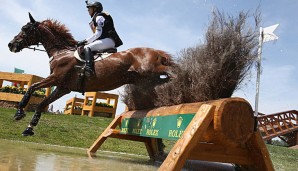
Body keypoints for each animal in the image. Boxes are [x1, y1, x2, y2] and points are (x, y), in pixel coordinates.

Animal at [8, 12, 176, 136]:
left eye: (25, 29)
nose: (11, 45)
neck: (60, 52)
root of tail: (155, 52)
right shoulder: (63, 88)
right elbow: (41, 104)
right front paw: (28, 129)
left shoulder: (55, 78)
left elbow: (32, 87)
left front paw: (19, 112)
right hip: (147, 79)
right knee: (163, 80)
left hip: (151, 69)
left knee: (172, 70)